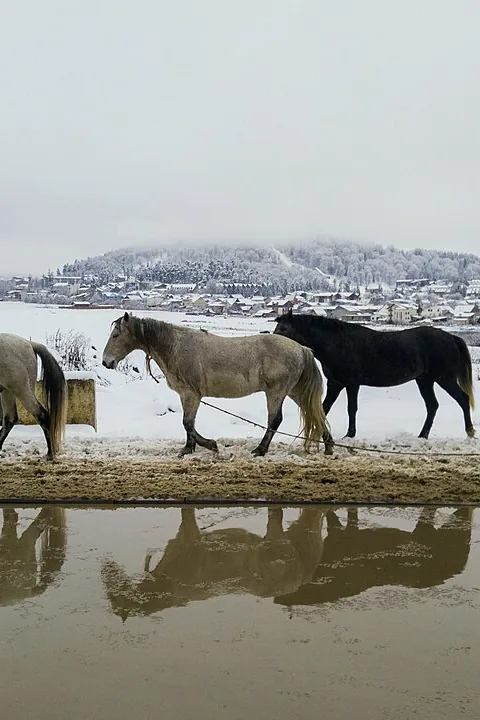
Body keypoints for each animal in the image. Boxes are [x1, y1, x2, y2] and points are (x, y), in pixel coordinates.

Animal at [101, 507, 326, 620]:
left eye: (114, 598)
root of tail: (298, 579)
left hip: (274, 537)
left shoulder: (189, 534)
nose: (107, 569)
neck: (171, 585)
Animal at [102, 312, 333, 457]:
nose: (106, 362)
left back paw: (260, 450)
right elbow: (189, 424)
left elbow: (187, 423)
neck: (176, 347)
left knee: (275, 421)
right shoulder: (186, 396)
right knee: (316, 413)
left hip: (276, 393)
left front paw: (210, 445)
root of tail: (301, 348)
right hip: (294, 392)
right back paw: (329, 446)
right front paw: (188, 448)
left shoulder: (192, 395)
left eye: (115, 335)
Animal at [274, 310, 475, 440]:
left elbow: (351, 409)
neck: (338, 344)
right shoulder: (335, 384)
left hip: (445, 379)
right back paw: (422, 436)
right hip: (425, 381)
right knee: (432, 406)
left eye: (284, 329)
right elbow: (324, 407)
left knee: (463, 399)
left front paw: (350, 435)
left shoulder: (351, 384)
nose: (273, 341)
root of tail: (451, 337)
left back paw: (469, 432)